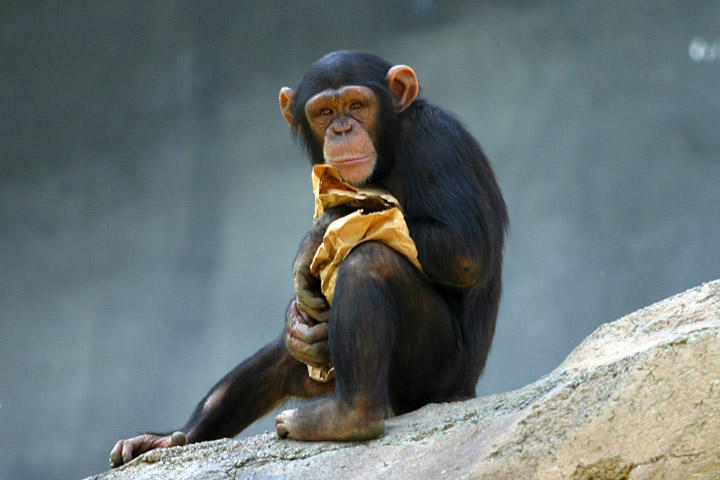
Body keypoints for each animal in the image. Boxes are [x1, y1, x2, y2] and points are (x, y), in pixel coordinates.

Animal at [109, 50, 510, 466]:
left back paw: (349, 416)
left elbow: (463, 250)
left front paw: (319, 233)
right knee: (278, 361)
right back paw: (170, 438)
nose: (342, 129)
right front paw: (295, 318)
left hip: (436, 377)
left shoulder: (436, 141)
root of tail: (465, 391)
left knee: (370, 262)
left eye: (357, 105)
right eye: (324, 112)